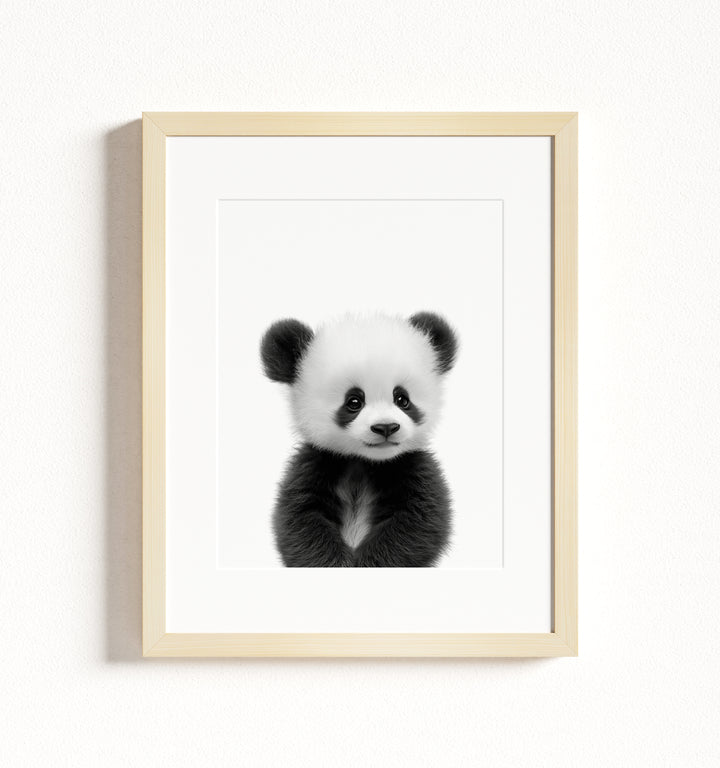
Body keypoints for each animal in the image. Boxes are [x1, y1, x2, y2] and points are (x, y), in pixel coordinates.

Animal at [260, 311, 458, 567]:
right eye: (354, 401)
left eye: (402, 399)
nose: (386, 427)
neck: (365, 461)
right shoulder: (314, 465)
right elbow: (300, 522)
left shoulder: (413, 467)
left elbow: (417, 525)